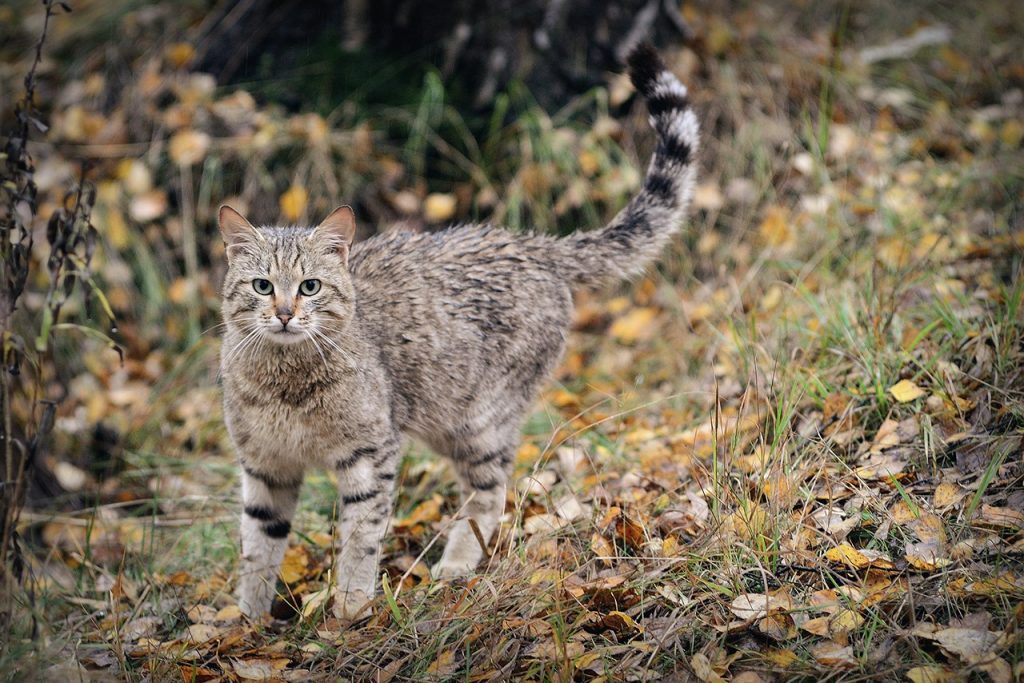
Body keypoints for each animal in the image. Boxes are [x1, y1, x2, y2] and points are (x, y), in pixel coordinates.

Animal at [222, 44, 704, 618]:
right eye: (262, 286)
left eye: (310, 286)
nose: (285, 313)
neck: (286, 383)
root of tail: (532, 243)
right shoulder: (263, 467)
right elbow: (257, 547)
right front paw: (247, 620)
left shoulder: (371, 455)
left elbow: (360, 536)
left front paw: (351, 605)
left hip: (476, 420)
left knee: (489, 491)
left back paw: (455, 562)